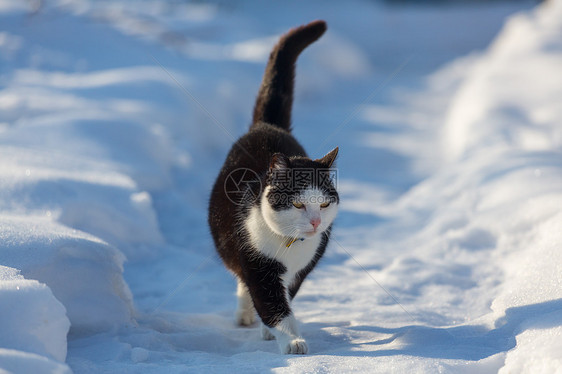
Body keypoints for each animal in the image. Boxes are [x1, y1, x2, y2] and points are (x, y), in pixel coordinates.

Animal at [206, 19, 336, 354]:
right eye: (299, 203)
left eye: (324, 204)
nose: (315, 223)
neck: (289, 244)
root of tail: (267, 125)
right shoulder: (256, 260)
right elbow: (271, 301)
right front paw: (292, 341)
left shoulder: (302, 268)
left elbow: (284, 297)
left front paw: (273, 331)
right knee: (240, 277)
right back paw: (245, 314)